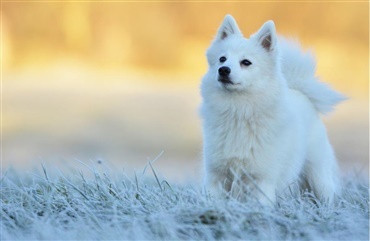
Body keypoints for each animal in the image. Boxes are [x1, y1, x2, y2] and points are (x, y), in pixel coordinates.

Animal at [199, 14, 344, 204]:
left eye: (246, 62)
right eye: (222, 59)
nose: (223, 70)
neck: (238, 111)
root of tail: (301, 92)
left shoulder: (262, 179)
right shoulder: (216, 176)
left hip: (318, 175)